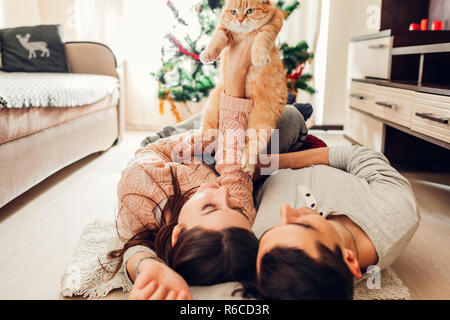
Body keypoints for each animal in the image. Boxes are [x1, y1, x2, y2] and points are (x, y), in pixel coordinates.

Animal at [200, 0, 288, 175]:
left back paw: (247, 165)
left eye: (250, 10)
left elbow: (261, 39)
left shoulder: (273, 23)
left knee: (252, 145)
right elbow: (216, 39)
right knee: (206, 133)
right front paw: (208, 54)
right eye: (233, 12)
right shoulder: (223, 28)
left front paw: (259, 58)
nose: (240, 20)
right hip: (212, 109)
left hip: (261, 124)